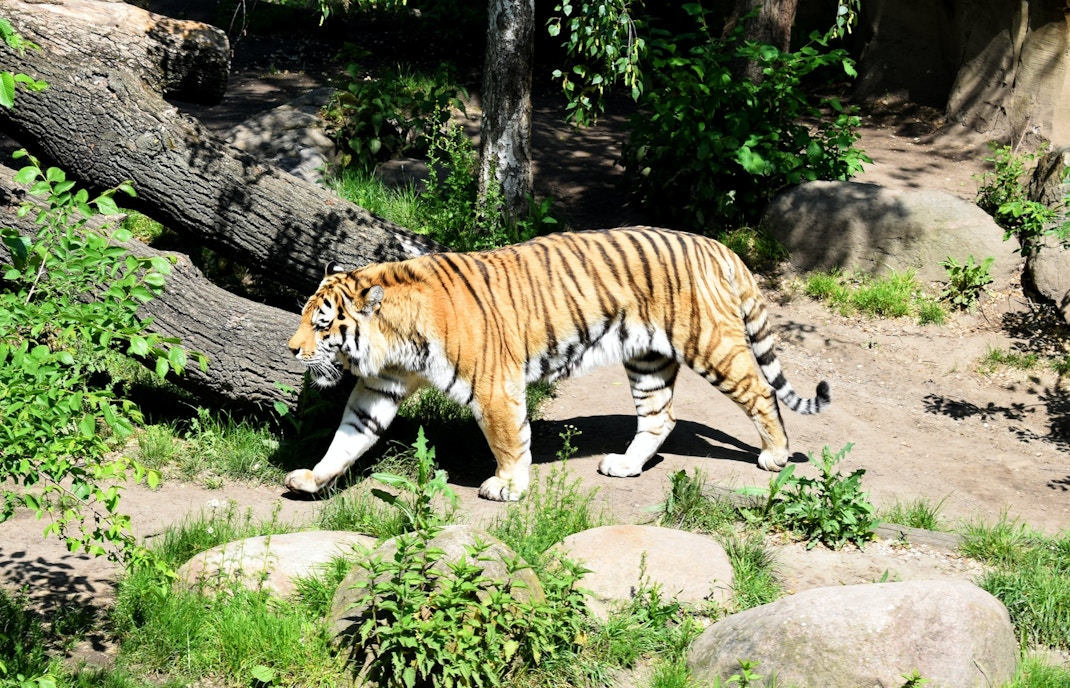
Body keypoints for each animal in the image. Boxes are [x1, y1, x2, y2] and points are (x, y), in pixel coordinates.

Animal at [284, 226, 830, 502]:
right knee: (661, 417)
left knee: (761, 392)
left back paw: (776, 455)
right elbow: (348, 438)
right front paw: (313, 477)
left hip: (711, 343)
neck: (393, 342)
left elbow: (508, 440)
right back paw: (625, 465)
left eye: (322, 325)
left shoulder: (494, 386)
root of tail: (718, 246)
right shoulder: (379, 387)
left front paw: (507, 486)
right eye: (307, 317)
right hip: (647, 359)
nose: (291, 349)